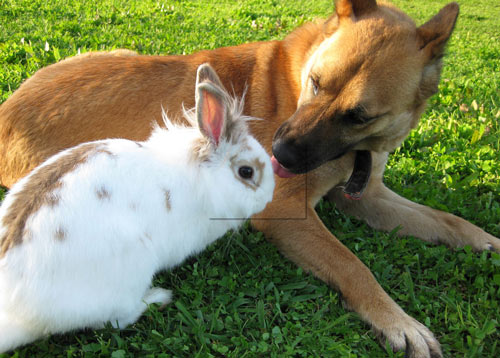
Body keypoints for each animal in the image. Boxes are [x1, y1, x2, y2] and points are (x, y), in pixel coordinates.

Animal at [0, 62, 274, 352]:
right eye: (246, 172)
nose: (269, 197)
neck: (202, 178)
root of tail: (20, 316)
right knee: (118, 319)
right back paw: (158, 297)